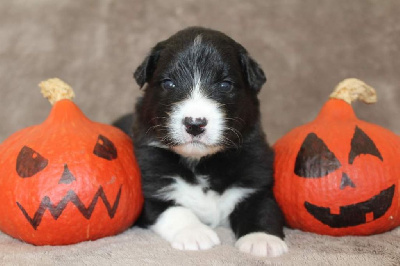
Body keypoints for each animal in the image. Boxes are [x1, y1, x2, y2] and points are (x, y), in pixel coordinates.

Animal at [115, 27, 288, 258]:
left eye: (225, 84)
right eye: (168, 83)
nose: (195, 124)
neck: (201, 163)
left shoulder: (255, 179)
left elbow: (261, 207)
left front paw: (262, 239)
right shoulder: (151, 188)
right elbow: (175, 209)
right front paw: (195, 234)